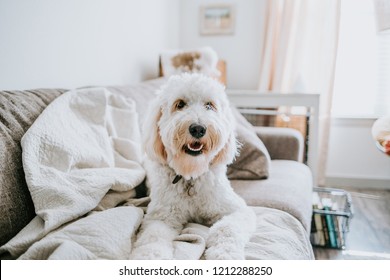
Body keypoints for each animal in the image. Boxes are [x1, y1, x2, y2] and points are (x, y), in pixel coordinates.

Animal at [131, 73, 258, 260]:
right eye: (180, 104)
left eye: (209, 105)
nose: (198, 128)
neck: (191, 174)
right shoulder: (161, 217)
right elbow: (152, 238)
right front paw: (149, 256)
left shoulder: (237, 210)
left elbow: (226, 228)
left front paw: (225, 255)